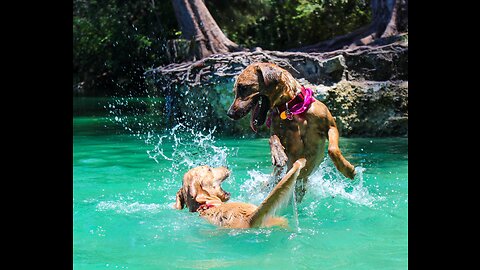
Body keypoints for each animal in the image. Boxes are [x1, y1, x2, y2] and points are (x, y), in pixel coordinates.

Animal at [226, 62, 356, 202]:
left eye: (243, 87)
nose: (229, 114)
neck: (291, 108)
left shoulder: (331, 126)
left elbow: (332, 149)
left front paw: (347, 169)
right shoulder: (281, 135)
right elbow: (272, 138)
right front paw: (278, 154)